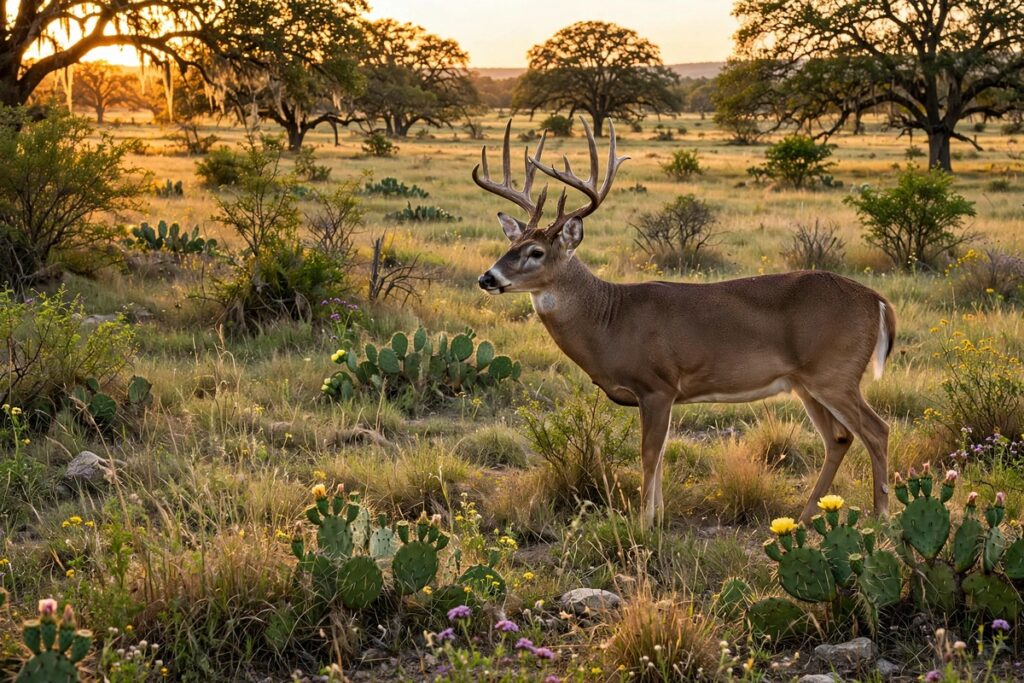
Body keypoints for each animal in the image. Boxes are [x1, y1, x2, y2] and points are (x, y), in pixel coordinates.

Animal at [472, 118, 897, 528]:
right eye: (510, 246)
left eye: (536, 252)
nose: (487, 278)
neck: (609, 319)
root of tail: (877, 301)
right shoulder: (664, 394)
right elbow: (660, 456)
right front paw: (658, 517)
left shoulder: (657, 385)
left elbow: (649, 455)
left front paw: (645, 524)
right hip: (806, 383)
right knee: (839, 438)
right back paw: (804, 517)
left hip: (834, 373)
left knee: (876, 430)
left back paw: (880, 517)